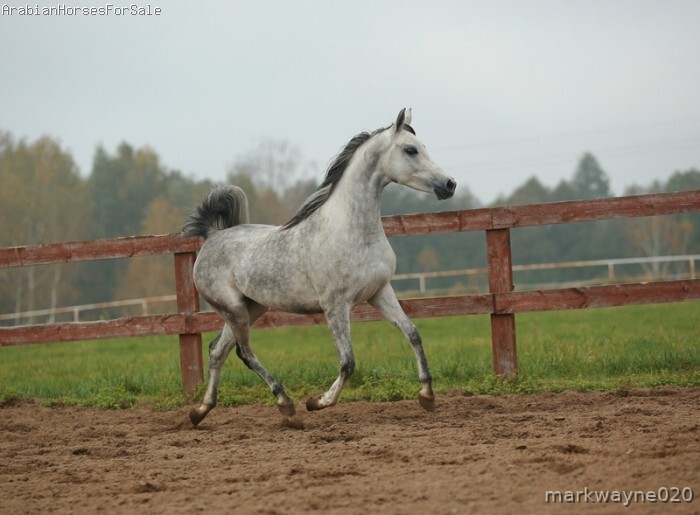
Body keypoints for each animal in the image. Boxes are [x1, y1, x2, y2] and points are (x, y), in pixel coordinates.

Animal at [183, 108, 456, 427]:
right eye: (410, 149)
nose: (449, 185)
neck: (354, 231)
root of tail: (211, 237)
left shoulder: (380, 293)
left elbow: (412, 333)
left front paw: (427, 396)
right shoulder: (335, 305)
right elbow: (348, 362)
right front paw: (318, 402)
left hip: (250, 308)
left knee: (217, 351)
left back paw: (201, 411)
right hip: (234, 310)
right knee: (244, 353)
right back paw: (286, 404)